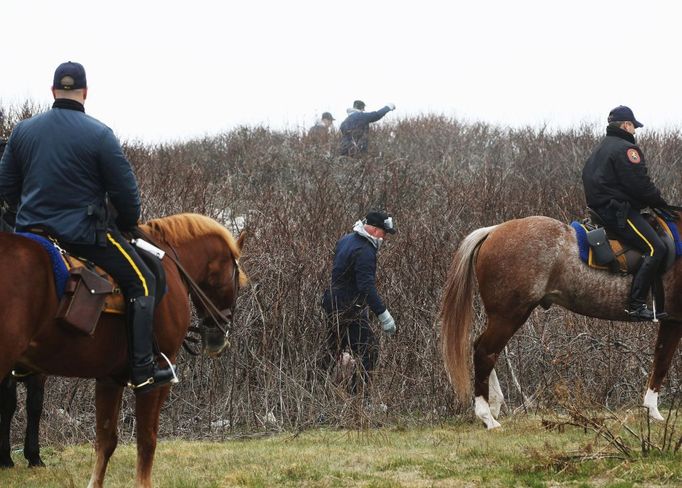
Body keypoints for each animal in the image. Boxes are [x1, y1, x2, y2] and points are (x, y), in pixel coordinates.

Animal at [0, 214, 247, 488]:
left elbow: (106, 440)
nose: (218, 338)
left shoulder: (109, 379)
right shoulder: (157, 377)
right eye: (237, 279)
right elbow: (147, 439)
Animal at [438, 215, 676, 428]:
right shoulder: (674, 321)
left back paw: (494, 406)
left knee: (483, 348)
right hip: (508, 316)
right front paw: (653, 412)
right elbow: (662, 361)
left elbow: (661, 358)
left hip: (507, 316)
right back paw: (487, 416)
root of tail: (493, 230)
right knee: (485, 352)